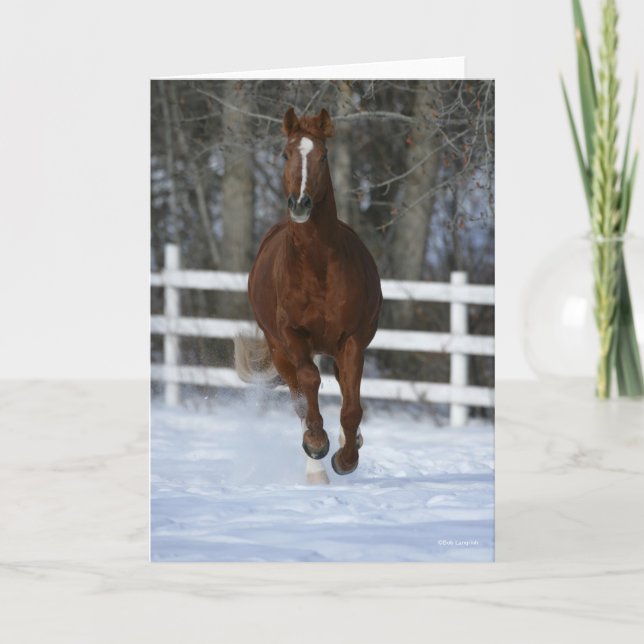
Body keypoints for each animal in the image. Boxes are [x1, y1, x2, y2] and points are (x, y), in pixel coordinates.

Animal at [234, 107, 382, 484]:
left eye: (323, 156)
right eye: (286, 153)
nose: (300, 204)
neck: (317, 268)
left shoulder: (352, 340)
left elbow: (351, 406)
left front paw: (346, 458)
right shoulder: (292, 335)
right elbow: (309, 383)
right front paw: (317, 445)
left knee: (344, 389)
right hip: (278, 349)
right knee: (300, 396)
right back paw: (315, 467)